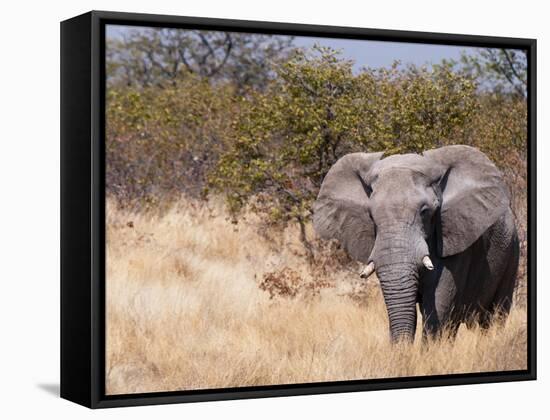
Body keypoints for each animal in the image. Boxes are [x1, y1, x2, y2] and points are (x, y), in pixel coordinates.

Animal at [314, 144, 520, 342]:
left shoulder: (453, 238)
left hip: (512, 253)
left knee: (494, 316)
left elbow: (437, 305)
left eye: (425, 211)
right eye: (371, 215)